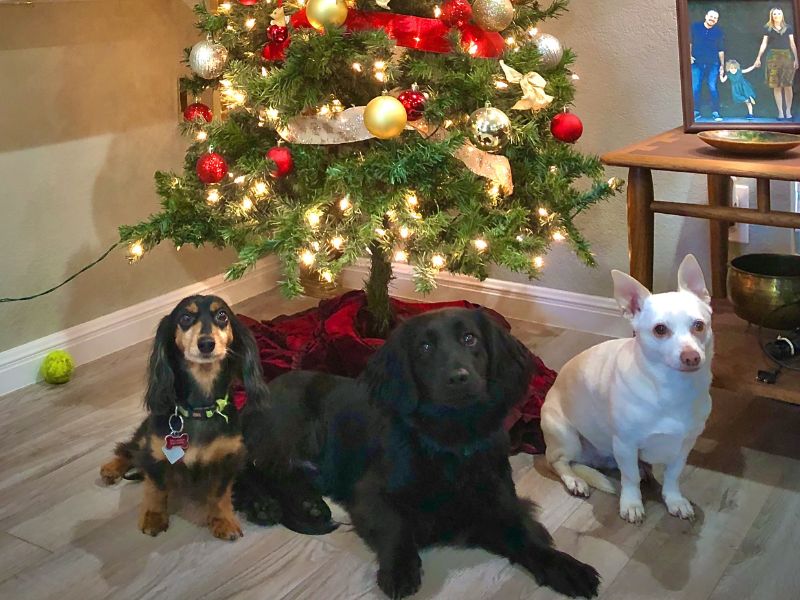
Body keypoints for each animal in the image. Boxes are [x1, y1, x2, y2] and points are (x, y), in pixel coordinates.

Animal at [101, 294, 282, 540]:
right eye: (185, 318)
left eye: (222, 315)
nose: (206, 344)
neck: (199, 410)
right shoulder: (155, 452)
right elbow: (156, 488)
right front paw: (154, 517)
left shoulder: (228, 459)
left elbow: (219, 494)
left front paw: (223, 521)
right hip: (144, 435)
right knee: (128, 449)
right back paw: (112, 468)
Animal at [234, 308, 596, 596]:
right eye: (424, 347)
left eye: (470, 339)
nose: (459, 378)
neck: (449, 440)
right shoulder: (370, 494)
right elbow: (396, 527)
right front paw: (400, 569)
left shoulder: (497, 500)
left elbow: (526, 536)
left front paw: (568, 568)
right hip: (293, 429)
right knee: (248, 469)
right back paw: (262, 504)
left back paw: (306, 505)